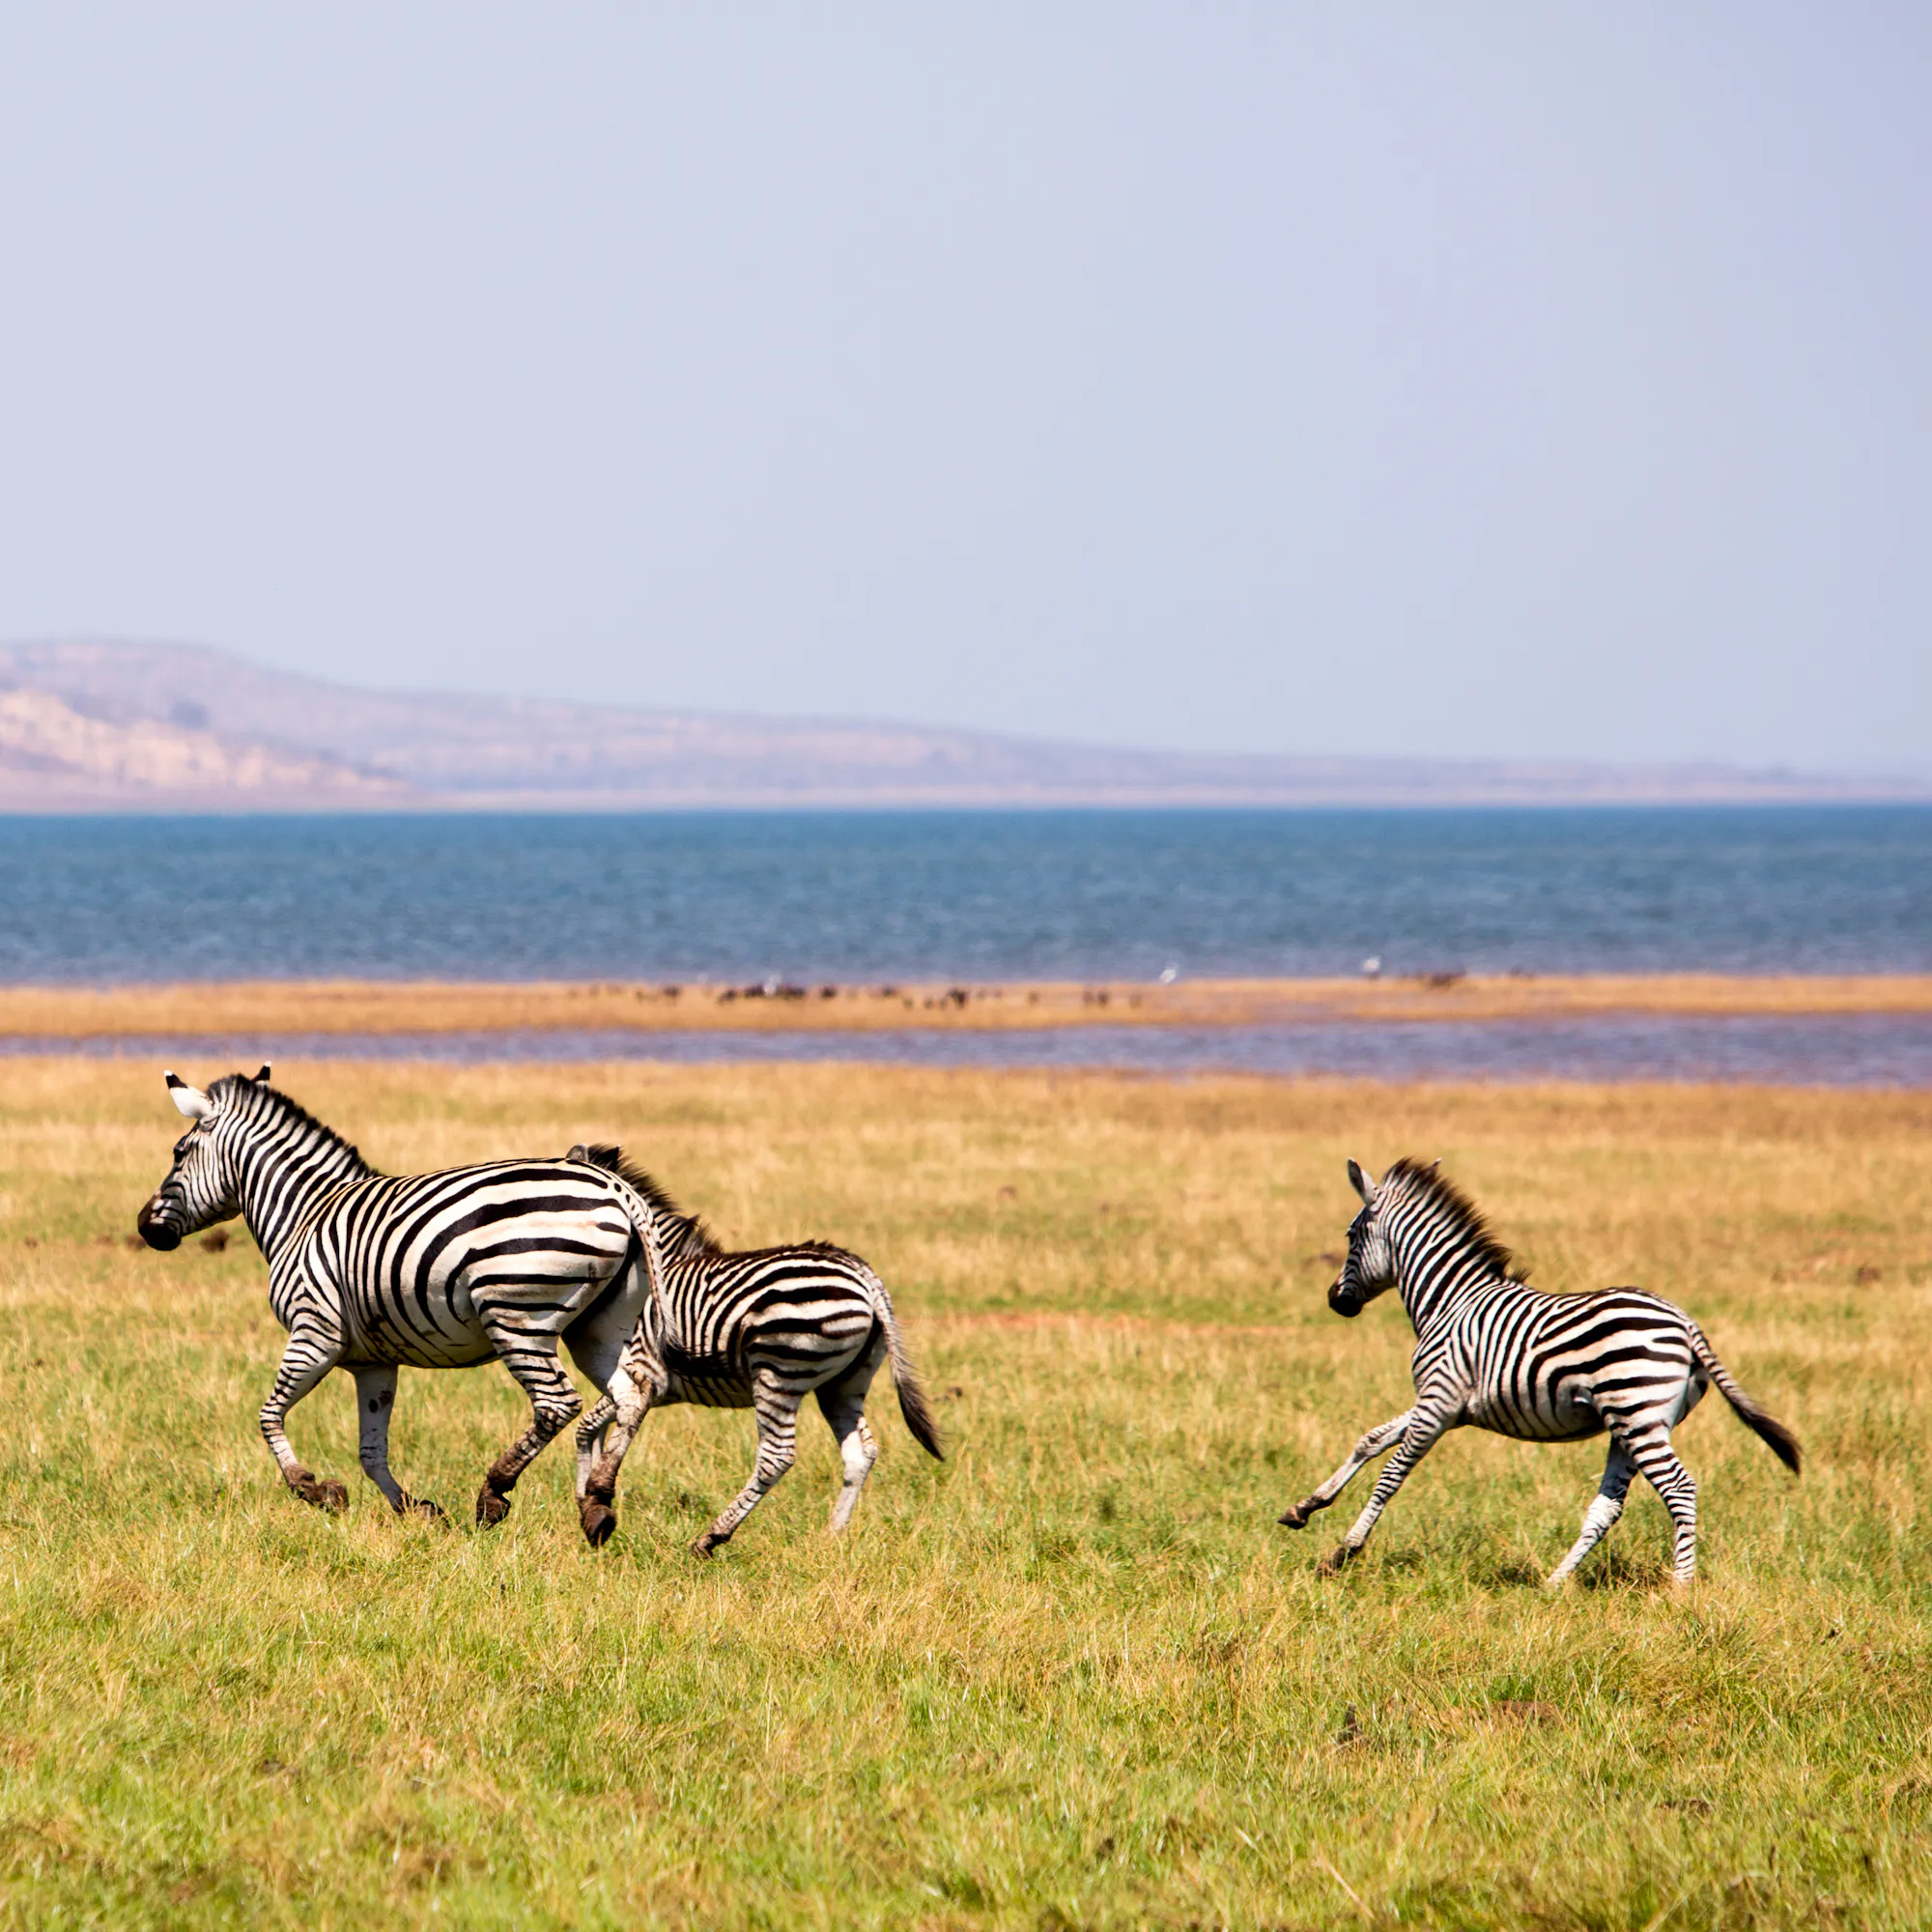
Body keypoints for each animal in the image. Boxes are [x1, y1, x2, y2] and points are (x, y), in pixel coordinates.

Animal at [137, 1069, 664, 1529]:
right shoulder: (373, 1362)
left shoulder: (314, 1333)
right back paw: (595, 1504)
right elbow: (371, 1451)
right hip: (598, 1327)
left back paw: (494, 1492)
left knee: (558, 1403)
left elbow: (268, 1416)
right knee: (631, 1395)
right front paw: (415, 1508)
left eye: (179, 1152)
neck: (303, 1214)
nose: (145, 1227)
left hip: (518, 1318)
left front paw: (313, 1489)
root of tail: (618, 1189)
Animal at [563, 1144, 944, 1557]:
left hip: (780, 1371)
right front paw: (591, 1503)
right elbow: (592, 1428)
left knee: (776, 1458)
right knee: (860, 1453)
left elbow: (591, 1425)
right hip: (844, 1382)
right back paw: (831, 1537)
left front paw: (594, 1498)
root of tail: (865, 1277)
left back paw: (712, 1537)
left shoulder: (645, 1370)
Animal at [1279, 1158, 1801, 1586]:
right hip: (1633, 1422)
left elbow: (1392, 1474)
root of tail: (1685, 1322)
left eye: (1351, 1236)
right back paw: (1553, 1583)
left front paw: (1344, 1551)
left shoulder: (1438, 1401)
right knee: (1607, 1506)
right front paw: (1305, 1507)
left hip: (1635, 1411)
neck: (1449, 1300)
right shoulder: (1446, 1405)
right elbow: (1370, 1439)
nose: (1336, 1300)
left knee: (1679, 1487)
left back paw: (1680, 1587)